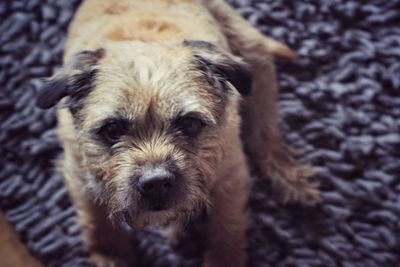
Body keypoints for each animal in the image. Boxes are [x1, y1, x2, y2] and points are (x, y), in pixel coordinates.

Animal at [36, 1, 320, 266]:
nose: (156, 183)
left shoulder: (231, 173)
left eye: (190, 124)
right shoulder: (77, 172)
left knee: (265, 133)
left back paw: (291, 179)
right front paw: (110, 255)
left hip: (253, 59)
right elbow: (95, 218)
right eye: (112, 129)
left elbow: (227, 222)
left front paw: (224, 257)